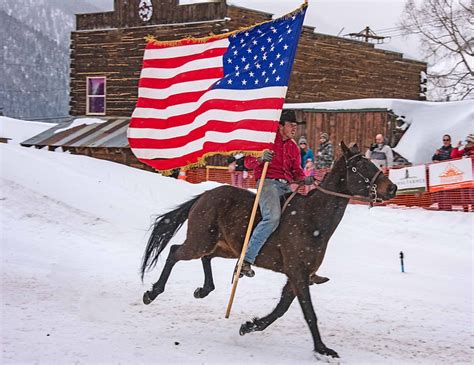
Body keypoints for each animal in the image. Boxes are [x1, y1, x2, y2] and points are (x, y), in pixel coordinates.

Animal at [140, 141, 396, 356]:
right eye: (360, 166)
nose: (392, 188)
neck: (312, 219)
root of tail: (205, 195)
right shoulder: (297, 273)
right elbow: (309, 313)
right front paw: (322, 349)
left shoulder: (297, 276)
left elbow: (282, 308)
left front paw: (249, 325)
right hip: (199, 241)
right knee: (174, 252)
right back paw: (152, 293)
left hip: (225, 247)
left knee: (206, 258)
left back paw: (204, 289)